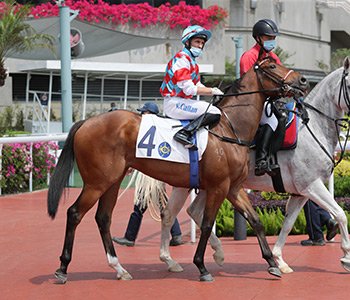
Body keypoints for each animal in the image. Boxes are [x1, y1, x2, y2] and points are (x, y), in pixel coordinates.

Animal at [47, 56, 308, 284]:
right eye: (272, 65)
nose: (303, 80)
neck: (229, 128)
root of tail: (85, 123)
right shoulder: (218, 187)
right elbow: (206, 224)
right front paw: (202, 266)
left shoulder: (233, 188)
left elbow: (255, 220)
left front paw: (272, 263)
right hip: (96, 183)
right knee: (74, 213)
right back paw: (62, 268)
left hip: (112, 180)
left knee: (103, 218)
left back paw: (119, 268)